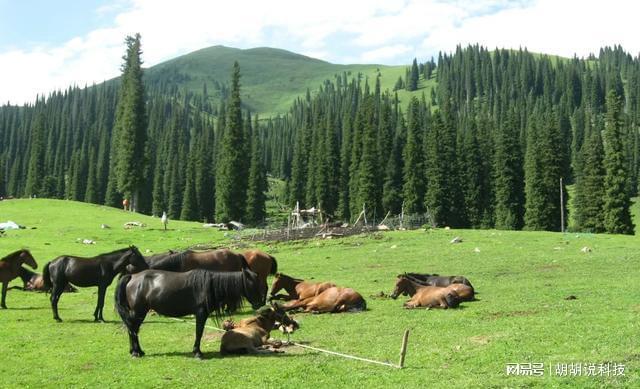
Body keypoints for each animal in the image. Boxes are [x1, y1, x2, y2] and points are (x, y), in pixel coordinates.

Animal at [116, 260, 264, 358]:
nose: (259, 303)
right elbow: (199, 332)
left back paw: (136, 351)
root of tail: (132, 277)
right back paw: (136, 352)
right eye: (252, 284)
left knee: (132, 329)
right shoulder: (201, 314)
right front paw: (197, 353)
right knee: (132, 329)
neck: (209, 286)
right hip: (138, 312)